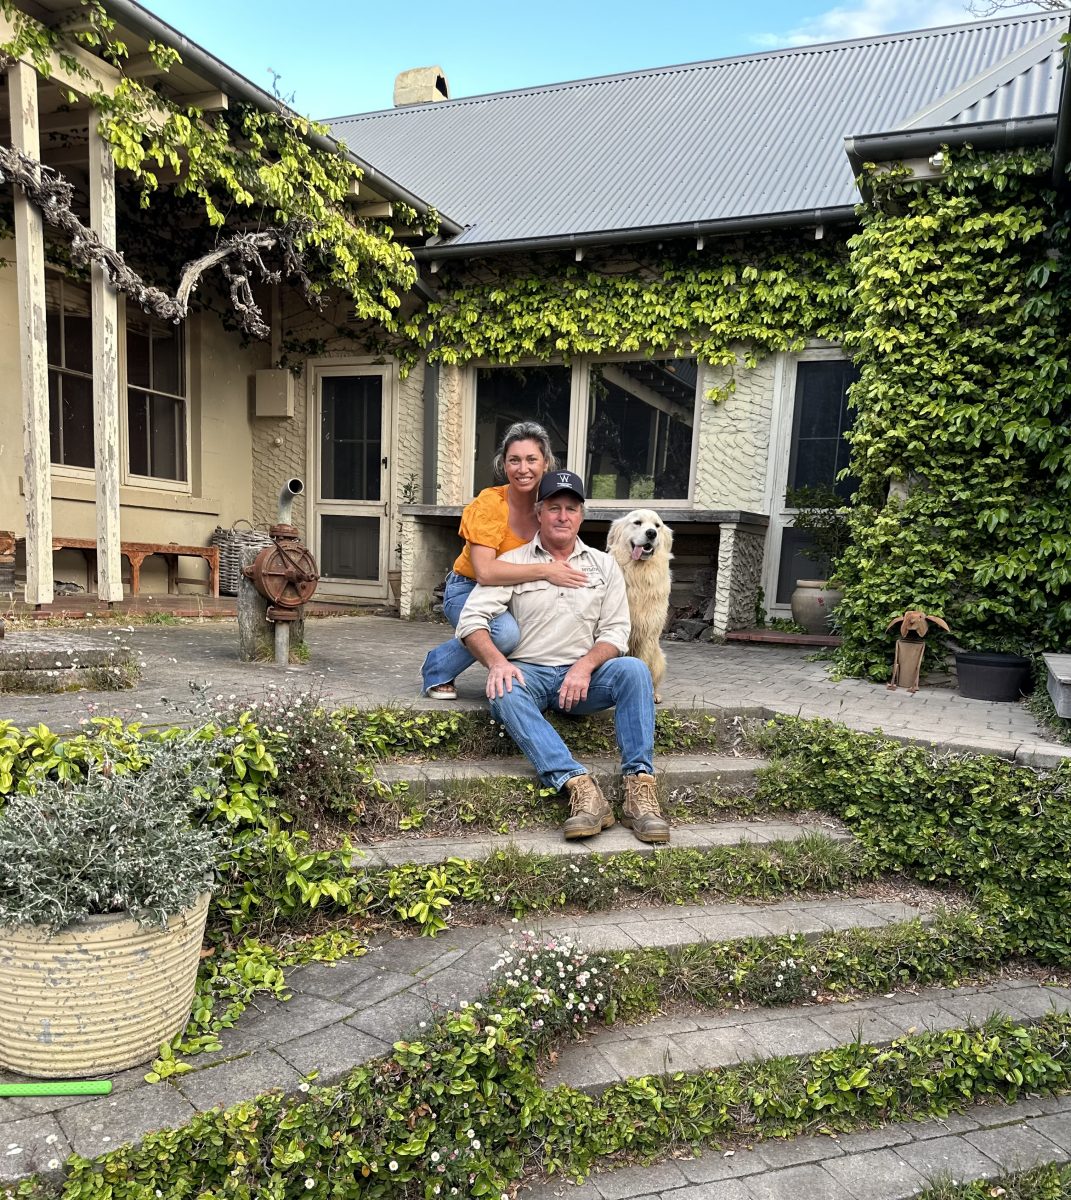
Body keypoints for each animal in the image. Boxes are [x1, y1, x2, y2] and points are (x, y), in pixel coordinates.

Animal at [607, 508, 672, 700]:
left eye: (657, 525)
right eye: (637, 522)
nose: (651, 533)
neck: (638, 575)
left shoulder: (648, 632)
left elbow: (642, 664)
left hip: (659, 658)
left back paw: (654, 694)